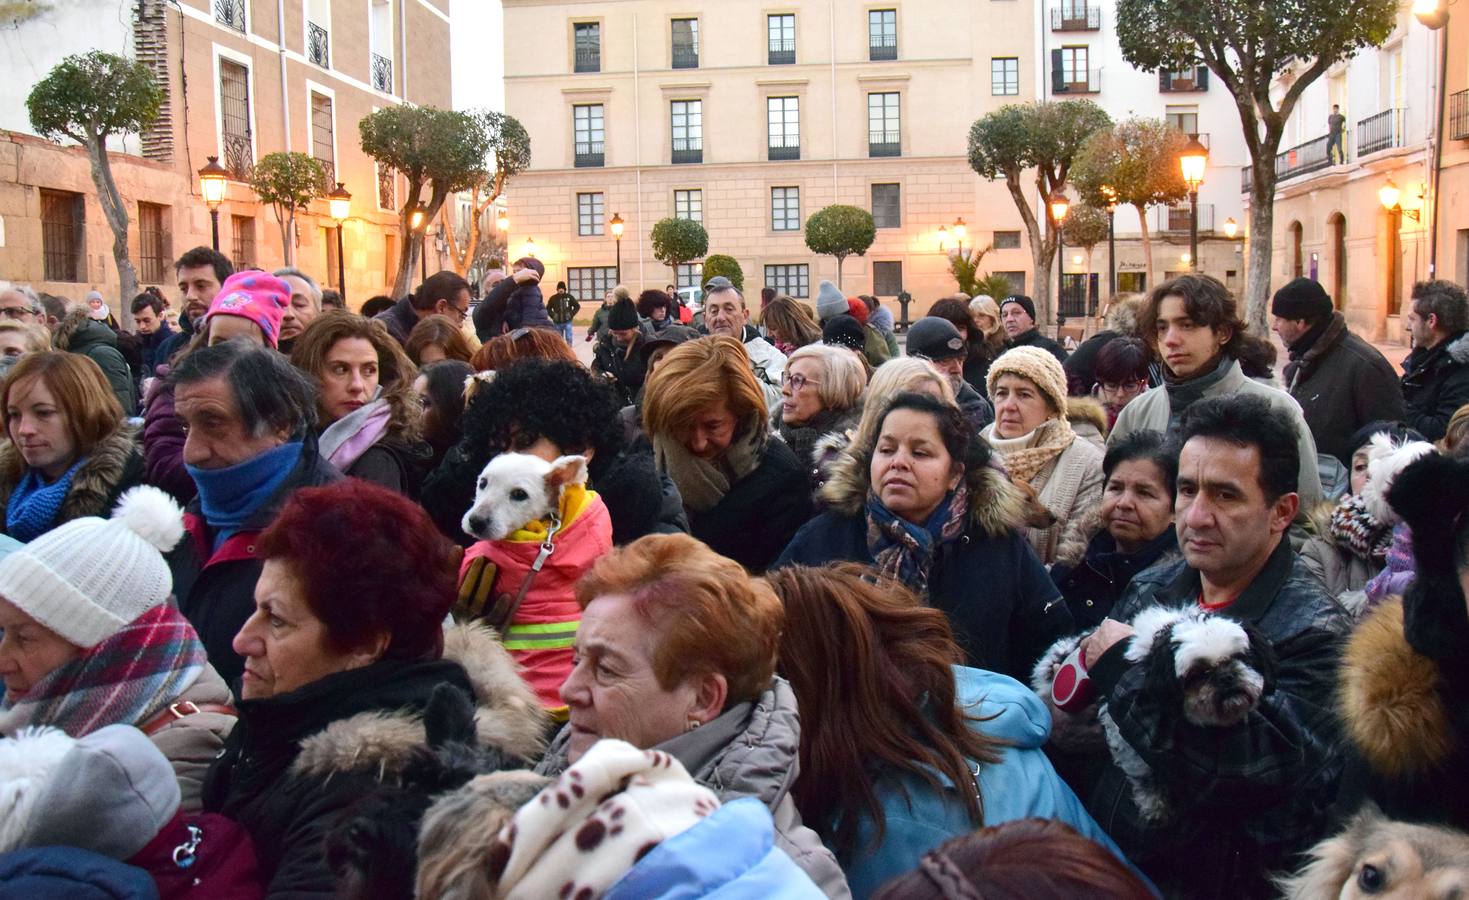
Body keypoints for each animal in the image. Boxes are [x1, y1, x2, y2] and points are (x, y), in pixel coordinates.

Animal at [1034, 604, 1275, 822]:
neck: (1154, 657)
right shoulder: (1119, 728)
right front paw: (1154, 801)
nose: (1226, 677)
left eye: (1242, 657)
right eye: (1198, 674)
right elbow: (1140, 767)